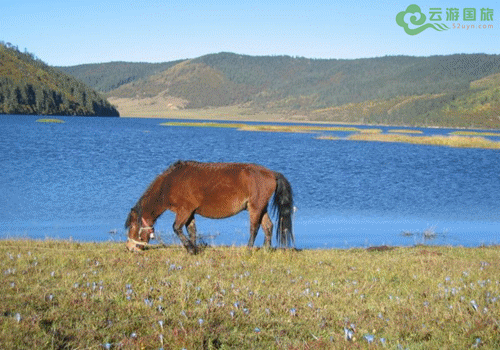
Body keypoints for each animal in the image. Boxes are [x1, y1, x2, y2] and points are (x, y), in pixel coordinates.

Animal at [124, 160, 292, 253]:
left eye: (132, 227)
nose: (130, 248)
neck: (170, 183)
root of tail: (272, 173)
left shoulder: (184, 211)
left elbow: (176, 228)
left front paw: (190, 249)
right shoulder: (190, 212)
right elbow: (191, 231)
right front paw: (194, 248)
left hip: (255, 208)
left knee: (254, 228)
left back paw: (249, 249)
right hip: (261, 208)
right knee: (268, 226)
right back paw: (266, 249)